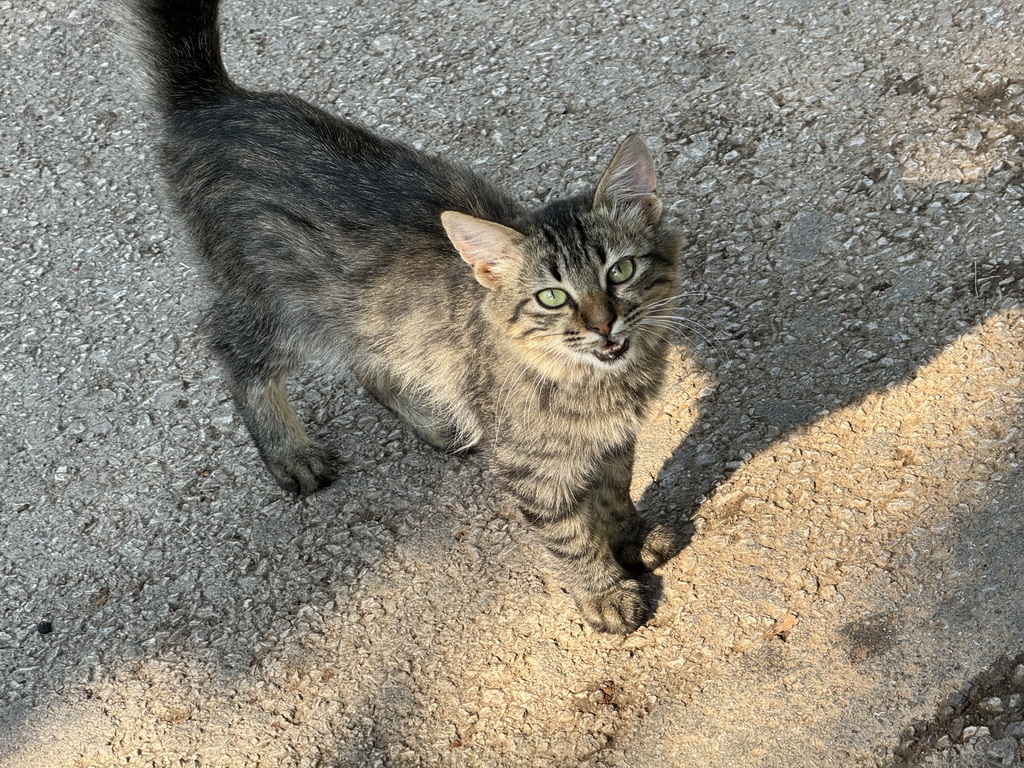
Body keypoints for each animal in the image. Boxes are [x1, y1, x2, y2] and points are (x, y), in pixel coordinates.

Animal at [130, 0, 688, 638]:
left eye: (620, 271)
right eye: (552, 297)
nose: (603, 325)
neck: (599, 384)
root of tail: (218, 101)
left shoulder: (613, 442)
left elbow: (615, 497)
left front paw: (631, 537)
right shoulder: (531, 468)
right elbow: (571, 536)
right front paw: (604, 591)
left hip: (366, 314)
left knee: (368, 363)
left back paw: (433, 421)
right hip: (274, 306)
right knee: (233, 353)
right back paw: (290, 453)